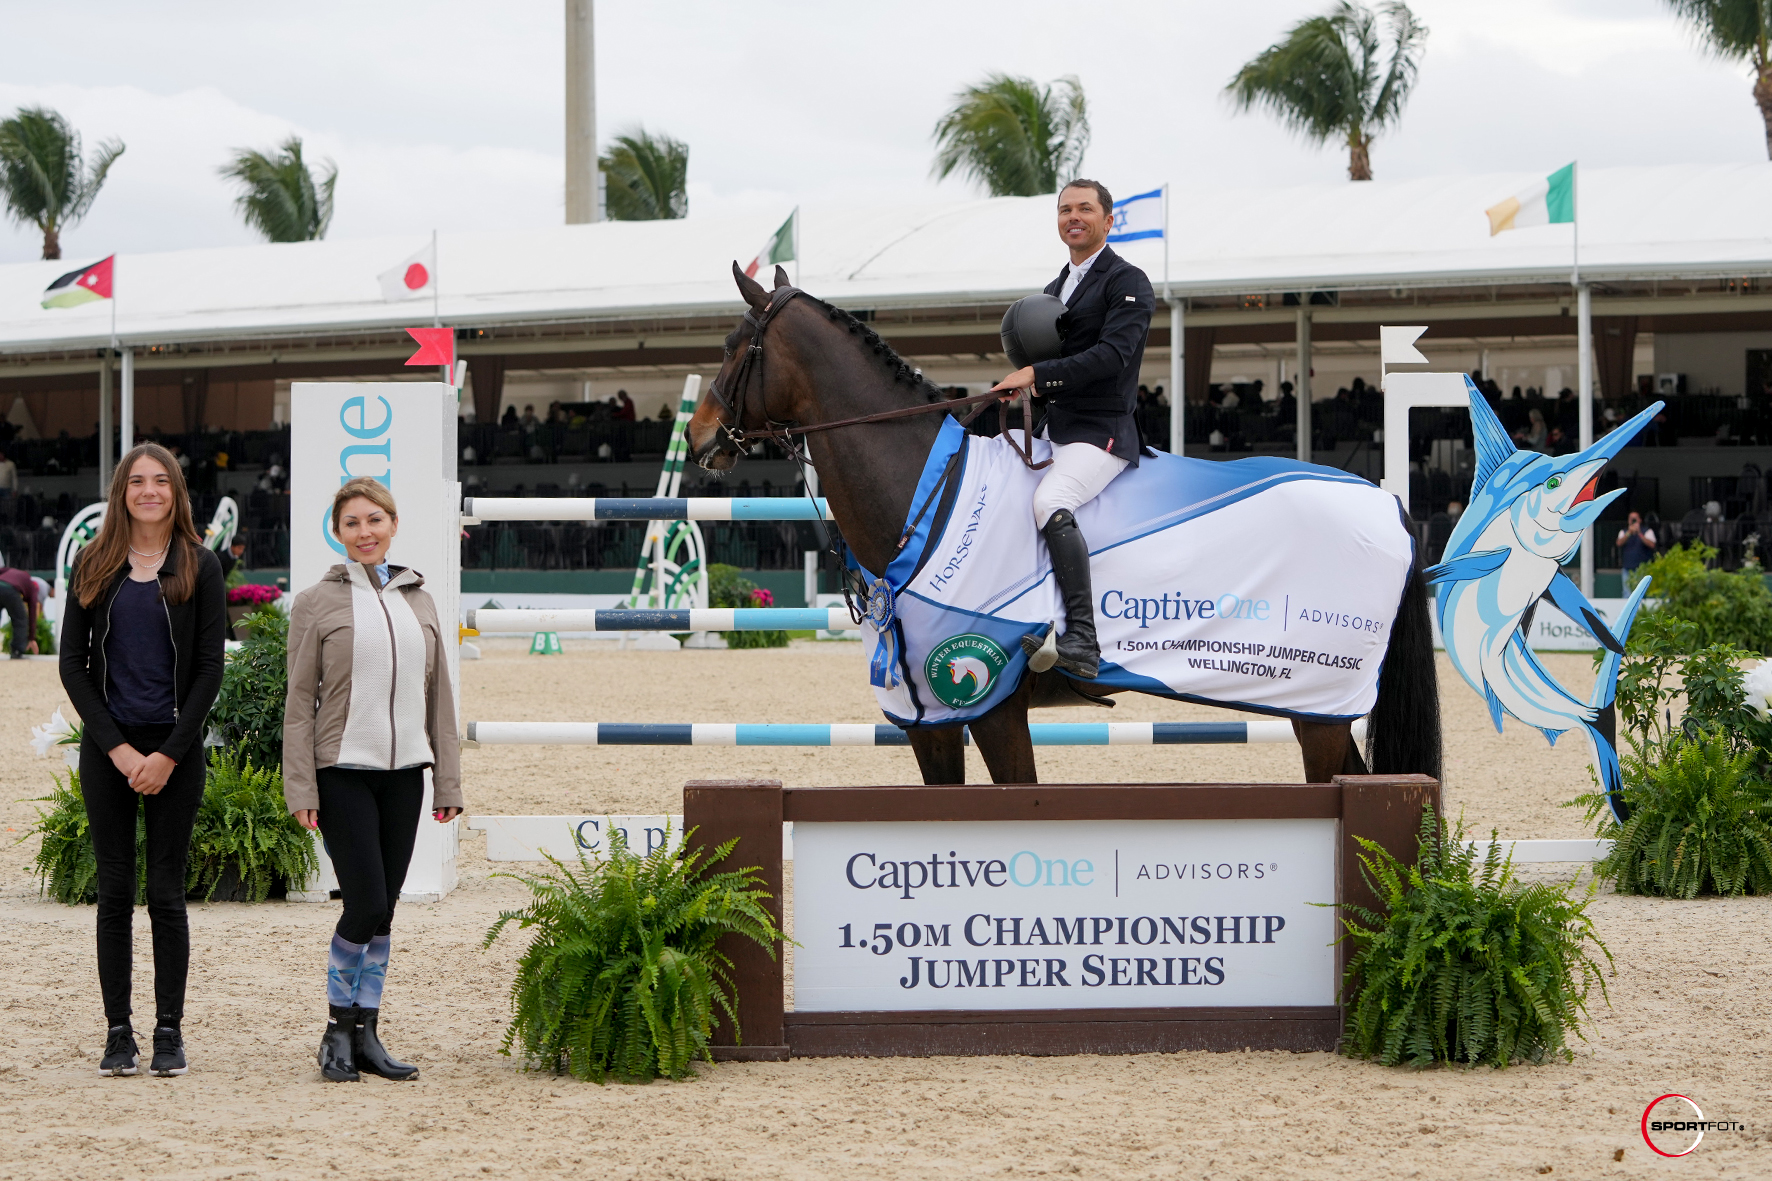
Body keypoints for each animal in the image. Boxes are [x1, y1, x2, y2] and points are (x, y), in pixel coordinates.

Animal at [680, 265, 1438, 780]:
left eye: (736, 342)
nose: (697, 434)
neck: (928, 487)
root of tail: (1388, 504)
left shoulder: (990, 704)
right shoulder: (929, 714)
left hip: (1320, 704)